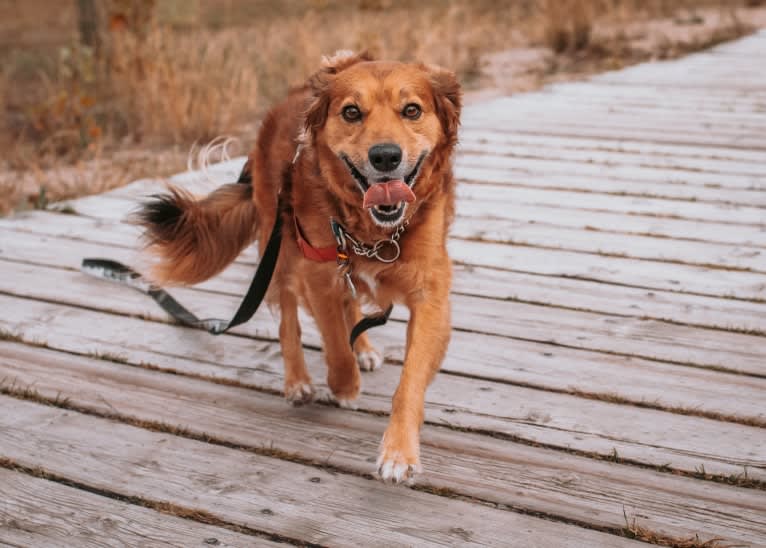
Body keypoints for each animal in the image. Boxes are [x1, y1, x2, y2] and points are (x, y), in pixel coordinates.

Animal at [136, 49, 462, 482]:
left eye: (412, 110)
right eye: (351, 112)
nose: (385, 156)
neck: (373, 232)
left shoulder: (430, 294)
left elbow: (409, 381)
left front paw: (399, 452)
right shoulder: (318, 274)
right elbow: (334, 343)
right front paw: (344, 387)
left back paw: (364, 349)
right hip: (279, 251)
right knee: (288, 320)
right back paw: (298, 381)